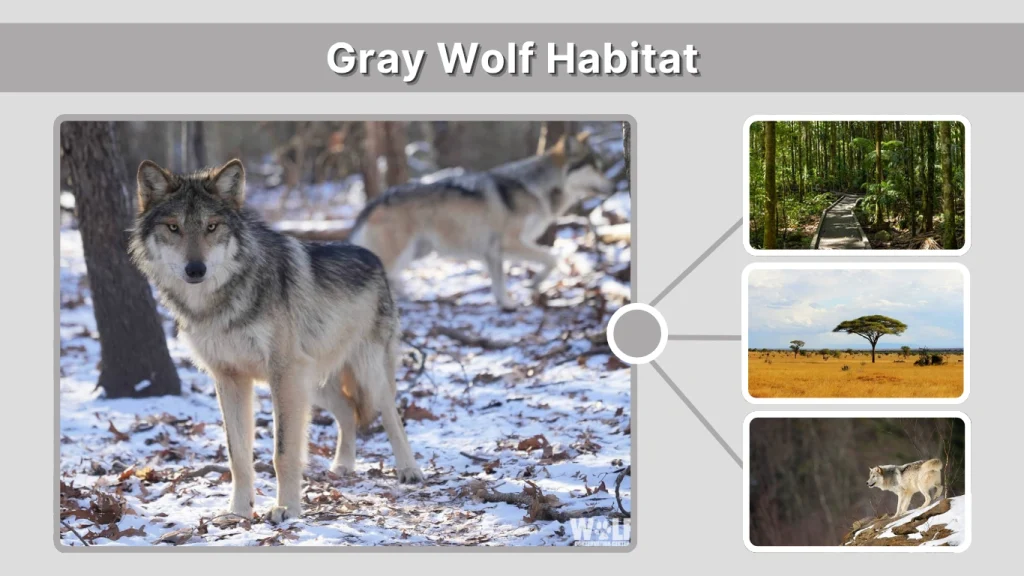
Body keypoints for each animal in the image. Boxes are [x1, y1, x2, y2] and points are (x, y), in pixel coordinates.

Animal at [128, 159, 423, 523]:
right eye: (173, 227)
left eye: (212, 227)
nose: (195, 269)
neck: (219, 304)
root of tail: (373, 257)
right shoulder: (230, 378)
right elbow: (238, 454)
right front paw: (238, 511)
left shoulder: (283, 374)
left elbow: (283, 451)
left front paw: (286, 508)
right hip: (312, 384)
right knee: (348, 410)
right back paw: (342, 465)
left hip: (362, 373)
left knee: (391, 413)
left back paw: (409, 470)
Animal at [349, 132, 615, 310]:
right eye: (595, 168)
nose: (612, 187)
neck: (536, 187)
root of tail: (373, 202)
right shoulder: (509, 244)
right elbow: (552, 258)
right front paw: (534, 284)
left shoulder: (494, 252)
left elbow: (499, 283)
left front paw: (506, 304)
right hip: (401, 253)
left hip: (418, 251)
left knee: (394, 278)